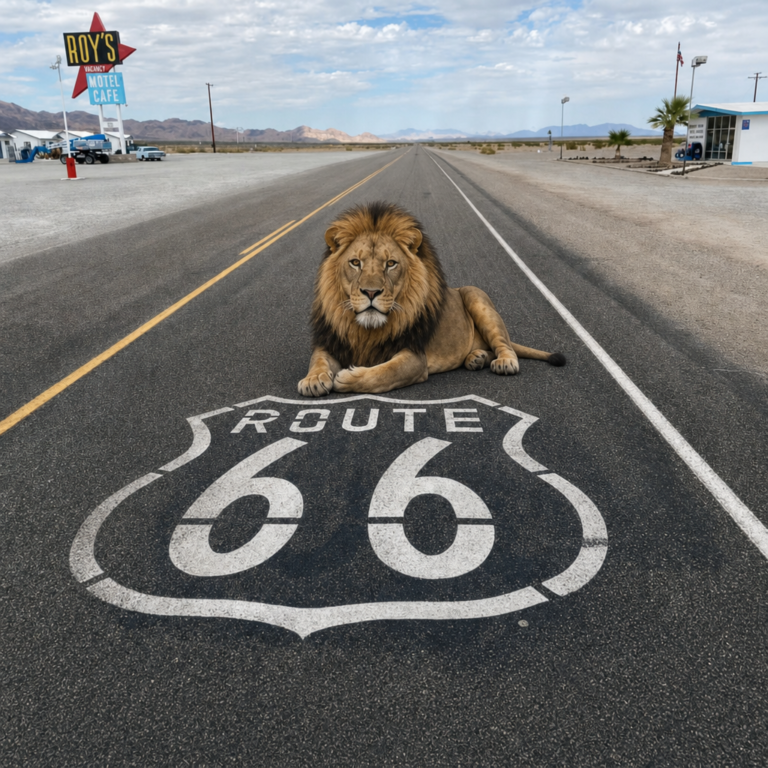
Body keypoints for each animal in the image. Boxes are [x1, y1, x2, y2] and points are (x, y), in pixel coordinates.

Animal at [298, 201, 565, 396]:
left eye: (390, 264)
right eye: (355, 262)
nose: (371, 292)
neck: (365, 330)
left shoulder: (415, 357)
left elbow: (384, 373)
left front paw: (348, 377)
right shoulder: (331, 341)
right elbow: (317, 359)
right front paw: (313, 379)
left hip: (475, 296)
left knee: (505, 345)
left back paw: (503, 362)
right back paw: (476, 358)